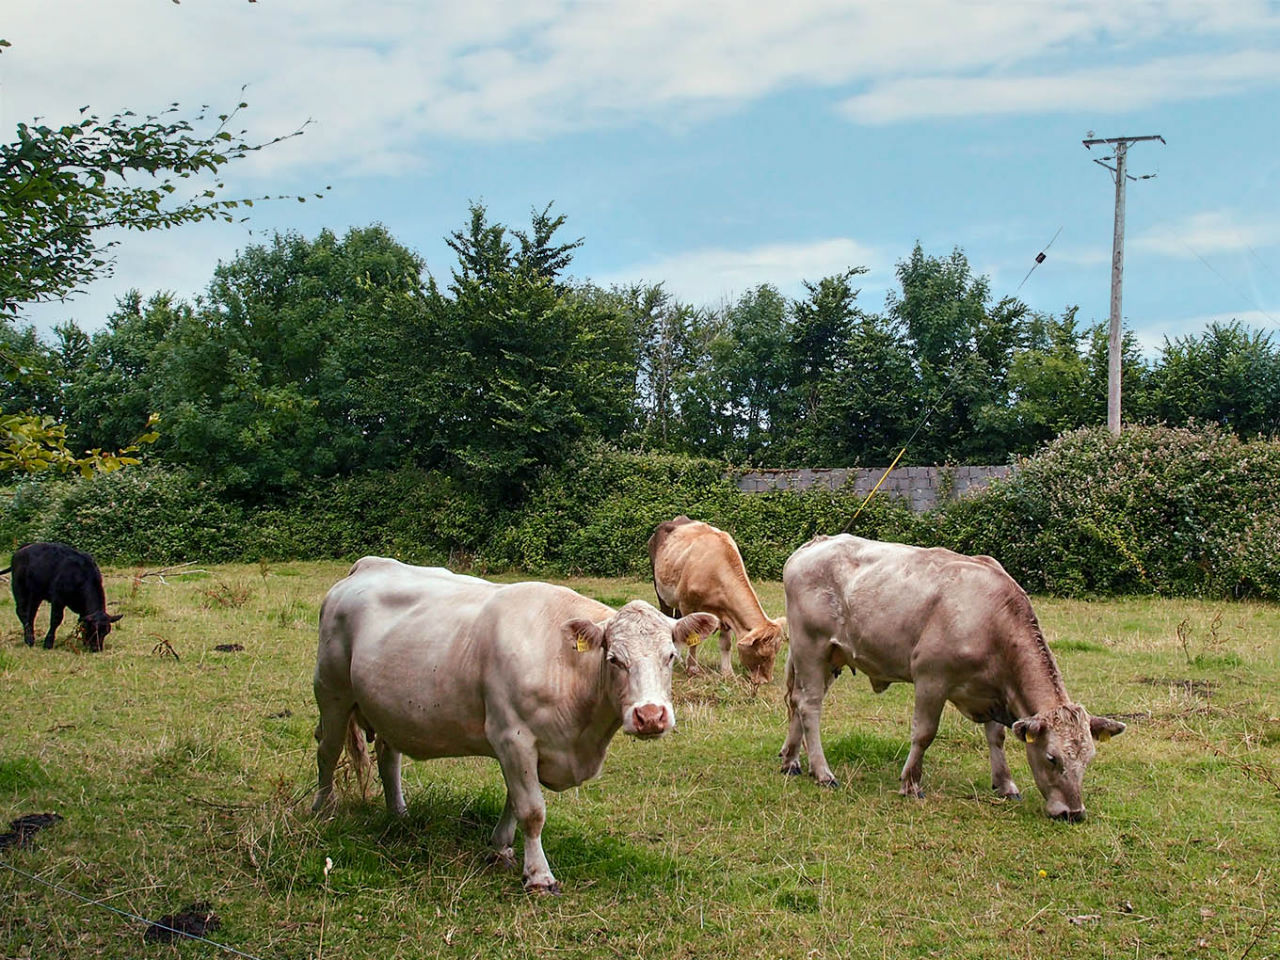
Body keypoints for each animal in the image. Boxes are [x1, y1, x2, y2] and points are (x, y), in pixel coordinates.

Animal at [305, 560, 716, 901]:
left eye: (670, 656)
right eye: (614, 659)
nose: (650, 716)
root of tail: (366, 566)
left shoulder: (522, 747)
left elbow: (513, 800)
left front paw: (500, 847)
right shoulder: (513, 736)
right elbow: (531, 809)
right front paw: (538, 876)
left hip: (385, 707)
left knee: (388, 757)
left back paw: (399, 814)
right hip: (332, 692)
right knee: (327, 751)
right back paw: (322, 810)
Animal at [645, 519, 783, 686]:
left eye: (776, 652)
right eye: (762, 655)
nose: (766, 680)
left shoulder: (727, 612)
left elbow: (726, 643)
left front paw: (728, 673)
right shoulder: (688, 605)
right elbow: (693, 639)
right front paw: (692, 669)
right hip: (661, 589)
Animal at [773, 537, 1126, 824]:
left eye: (1089, 758)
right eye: (1052, 758)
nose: (1073, 813)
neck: (991, 620)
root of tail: (815, 544)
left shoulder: (991, 691)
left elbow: (996, 736)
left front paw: (1005, 783)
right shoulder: (932, 677)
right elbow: (924, 733)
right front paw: (911, 783)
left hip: (832, 657)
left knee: (798, 702)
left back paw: (791, 760)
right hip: (811, 646)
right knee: (809, 705)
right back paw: (823, 772)